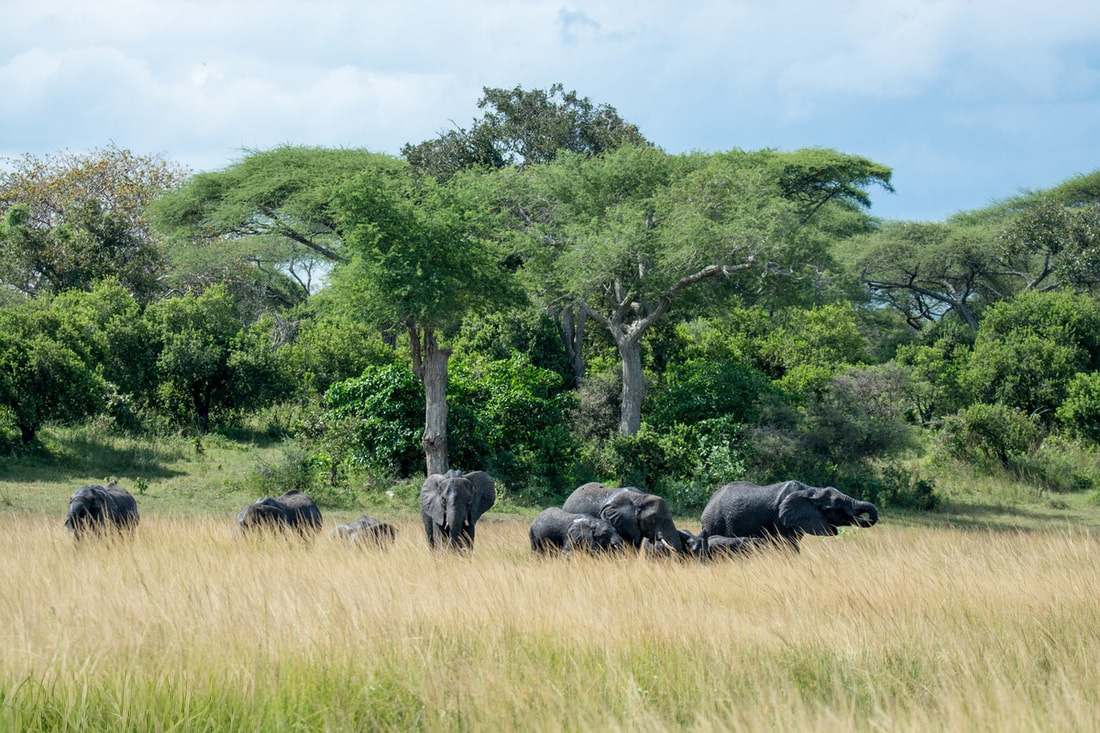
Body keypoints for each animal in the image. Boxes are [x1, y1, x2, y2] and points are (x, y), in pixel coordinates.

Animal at [700, 480, 878, 550]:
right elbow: (788, 545)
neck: (812, 490)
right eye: (836, 506)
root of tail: (709, 502)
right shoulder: (780, 519)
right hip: (714, 521)